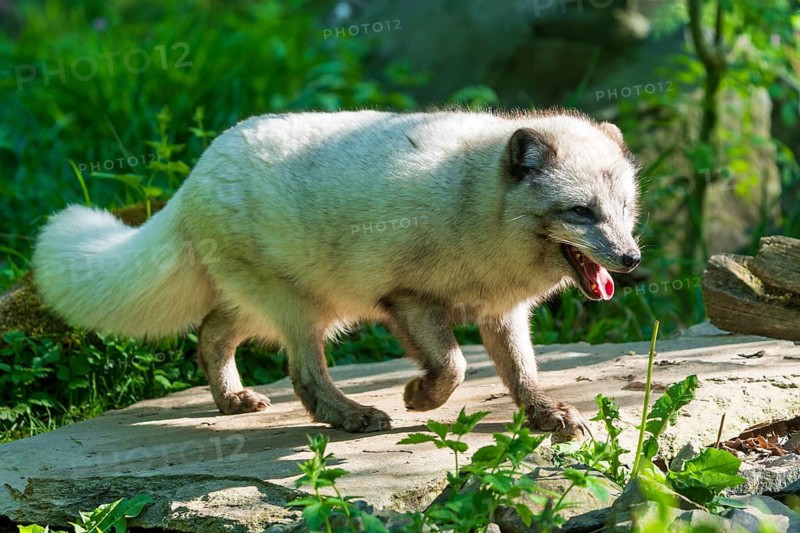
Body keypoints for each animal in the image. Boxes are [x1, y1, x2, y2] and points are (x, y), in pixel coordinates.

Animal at [33, 109, 641, 439]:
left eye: (624, 209)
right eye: (580, 212)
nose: (632, 259)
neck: (475, 201)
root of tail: (194, 176)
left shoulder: (502, 310)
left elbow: (520, 372)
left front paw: (546, 414)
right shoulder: (409, 298)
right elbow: (455, 365)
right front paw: (420, 396)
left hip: (278, 305)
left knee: (210, 333)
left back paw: (231, 401)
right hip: (302, 309)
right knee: (303, 375)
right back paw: (351, 415)